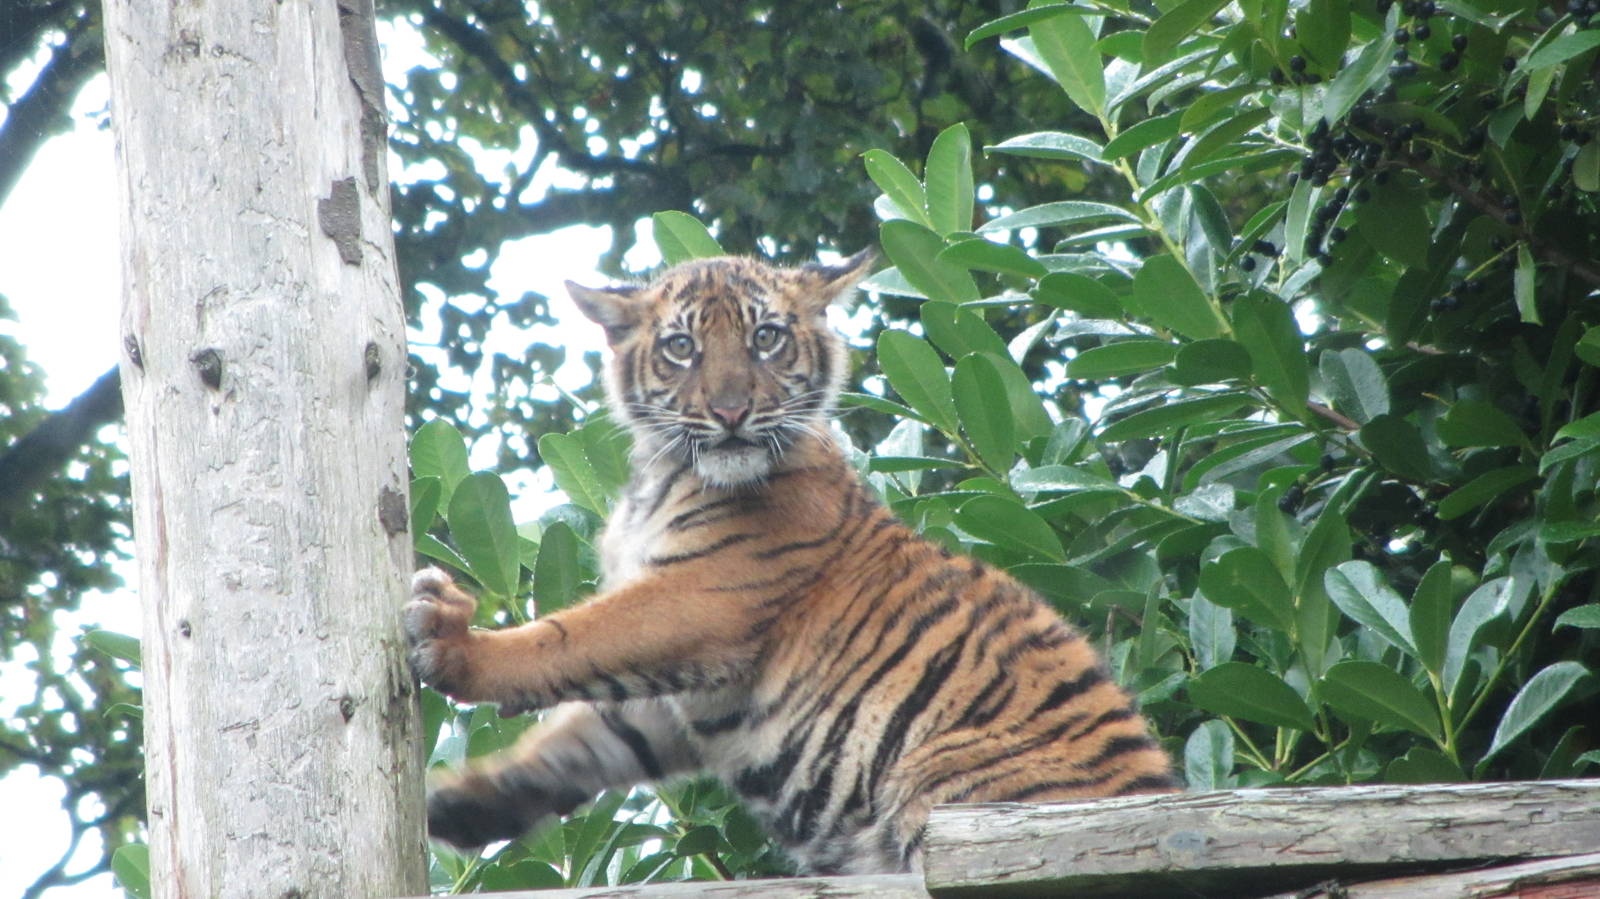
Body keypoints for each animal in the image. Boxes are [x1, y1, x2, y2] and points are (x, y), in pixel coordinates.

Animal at [403, 250, 1178, 875]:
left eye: (765, 339)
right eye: (681, 347)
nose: (731, 411)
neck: (660, 473)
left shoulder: (702, 599)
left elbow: (566, 640)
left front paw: (450, 638)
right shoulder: (673, 699)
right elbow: (575, 743)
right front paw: (460, 806)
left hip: (945, 781)